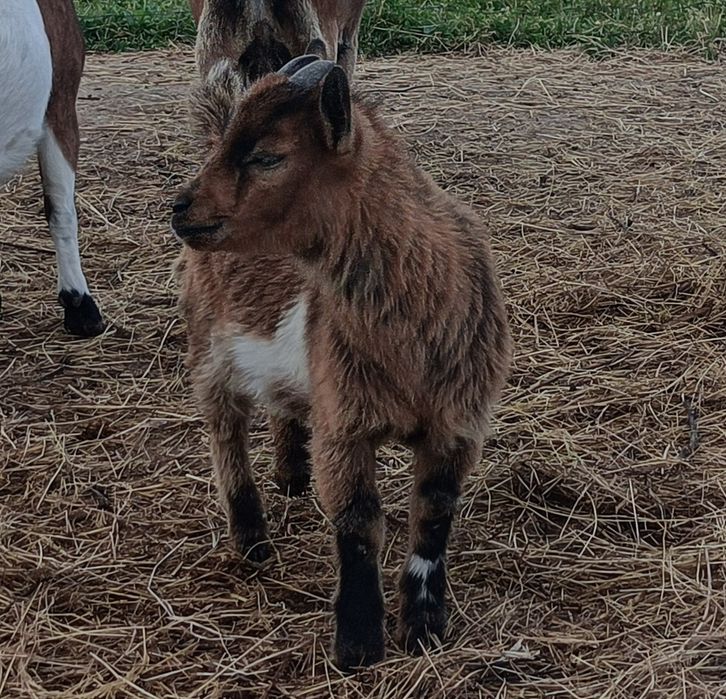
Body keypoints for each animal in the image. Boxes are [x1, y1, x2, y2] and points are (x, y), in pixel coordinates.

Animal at [171, 56, 512, 670]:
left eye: (267, 157)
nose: (180, 208)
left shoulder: (458, 426)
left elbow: (433, 518)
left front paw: (424, 627)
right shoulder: (345, 423)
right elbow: (357, 522)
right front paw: (358, 644)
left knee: (281, 405)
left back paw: (291, 475)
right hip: (208, 342)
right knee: (225, 430)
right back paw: (252, 540)